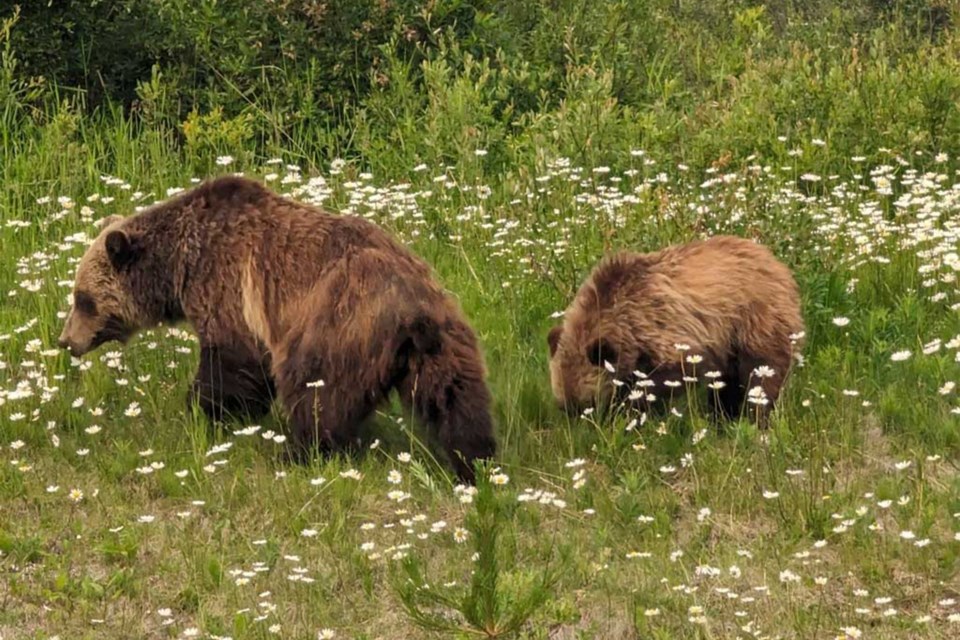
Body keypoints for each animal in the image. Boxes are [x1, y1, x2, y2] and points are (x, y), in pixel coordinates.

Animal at [61, 175, 498, 480]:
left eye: (83, 298)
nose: (66, 341)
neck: (179, 267)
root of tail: (410, 307)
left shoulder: (229, 289)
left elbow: (232, 364)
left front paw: (205, 411)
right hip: (445, 338)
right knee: (456, 398)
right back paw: (475, 463)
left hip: (334, 324)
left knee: (315, 392)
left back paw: (297, 451)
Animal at [548, 235, 804, 424]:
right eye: (564, 406)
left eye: (587, 403)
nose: (581, 425)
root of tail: (775, 261)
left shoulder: (665, 326)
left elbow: (670, 373)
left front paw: (630, 408)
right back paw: (722, 417)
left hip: (756, 320)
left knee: (761, 374)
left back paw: (755, 418)